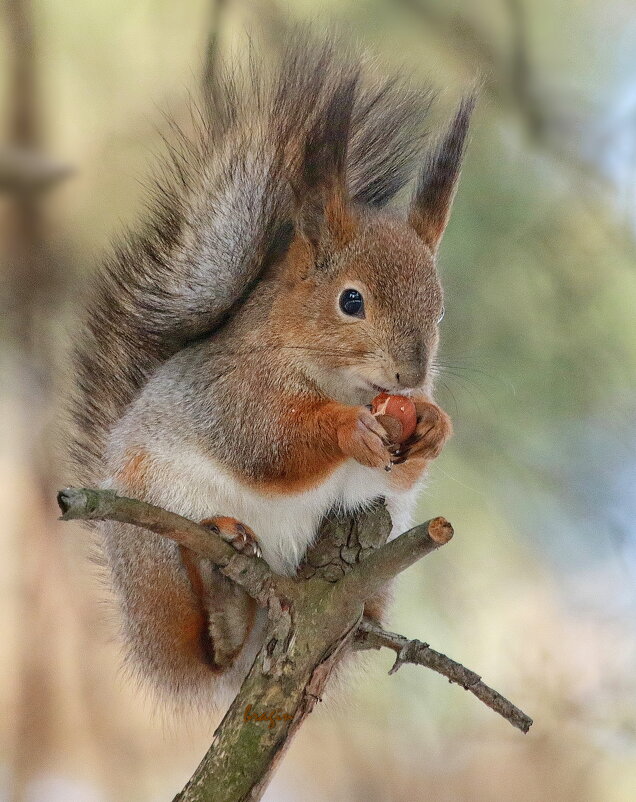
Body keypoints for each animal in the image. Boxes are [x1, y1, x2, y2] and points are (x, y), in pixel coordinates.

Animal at [69, 36, 472, 708]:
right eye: (351, 301)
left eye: (440, 308)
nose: (410, 374)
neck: (338, 381)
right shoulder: (234, 389)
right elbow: (267, 443)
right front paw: (348, 430)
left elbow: (405, 469)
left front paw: (434, 425)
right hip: (152, 544)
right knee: (200, 643)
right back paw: (225, 588)